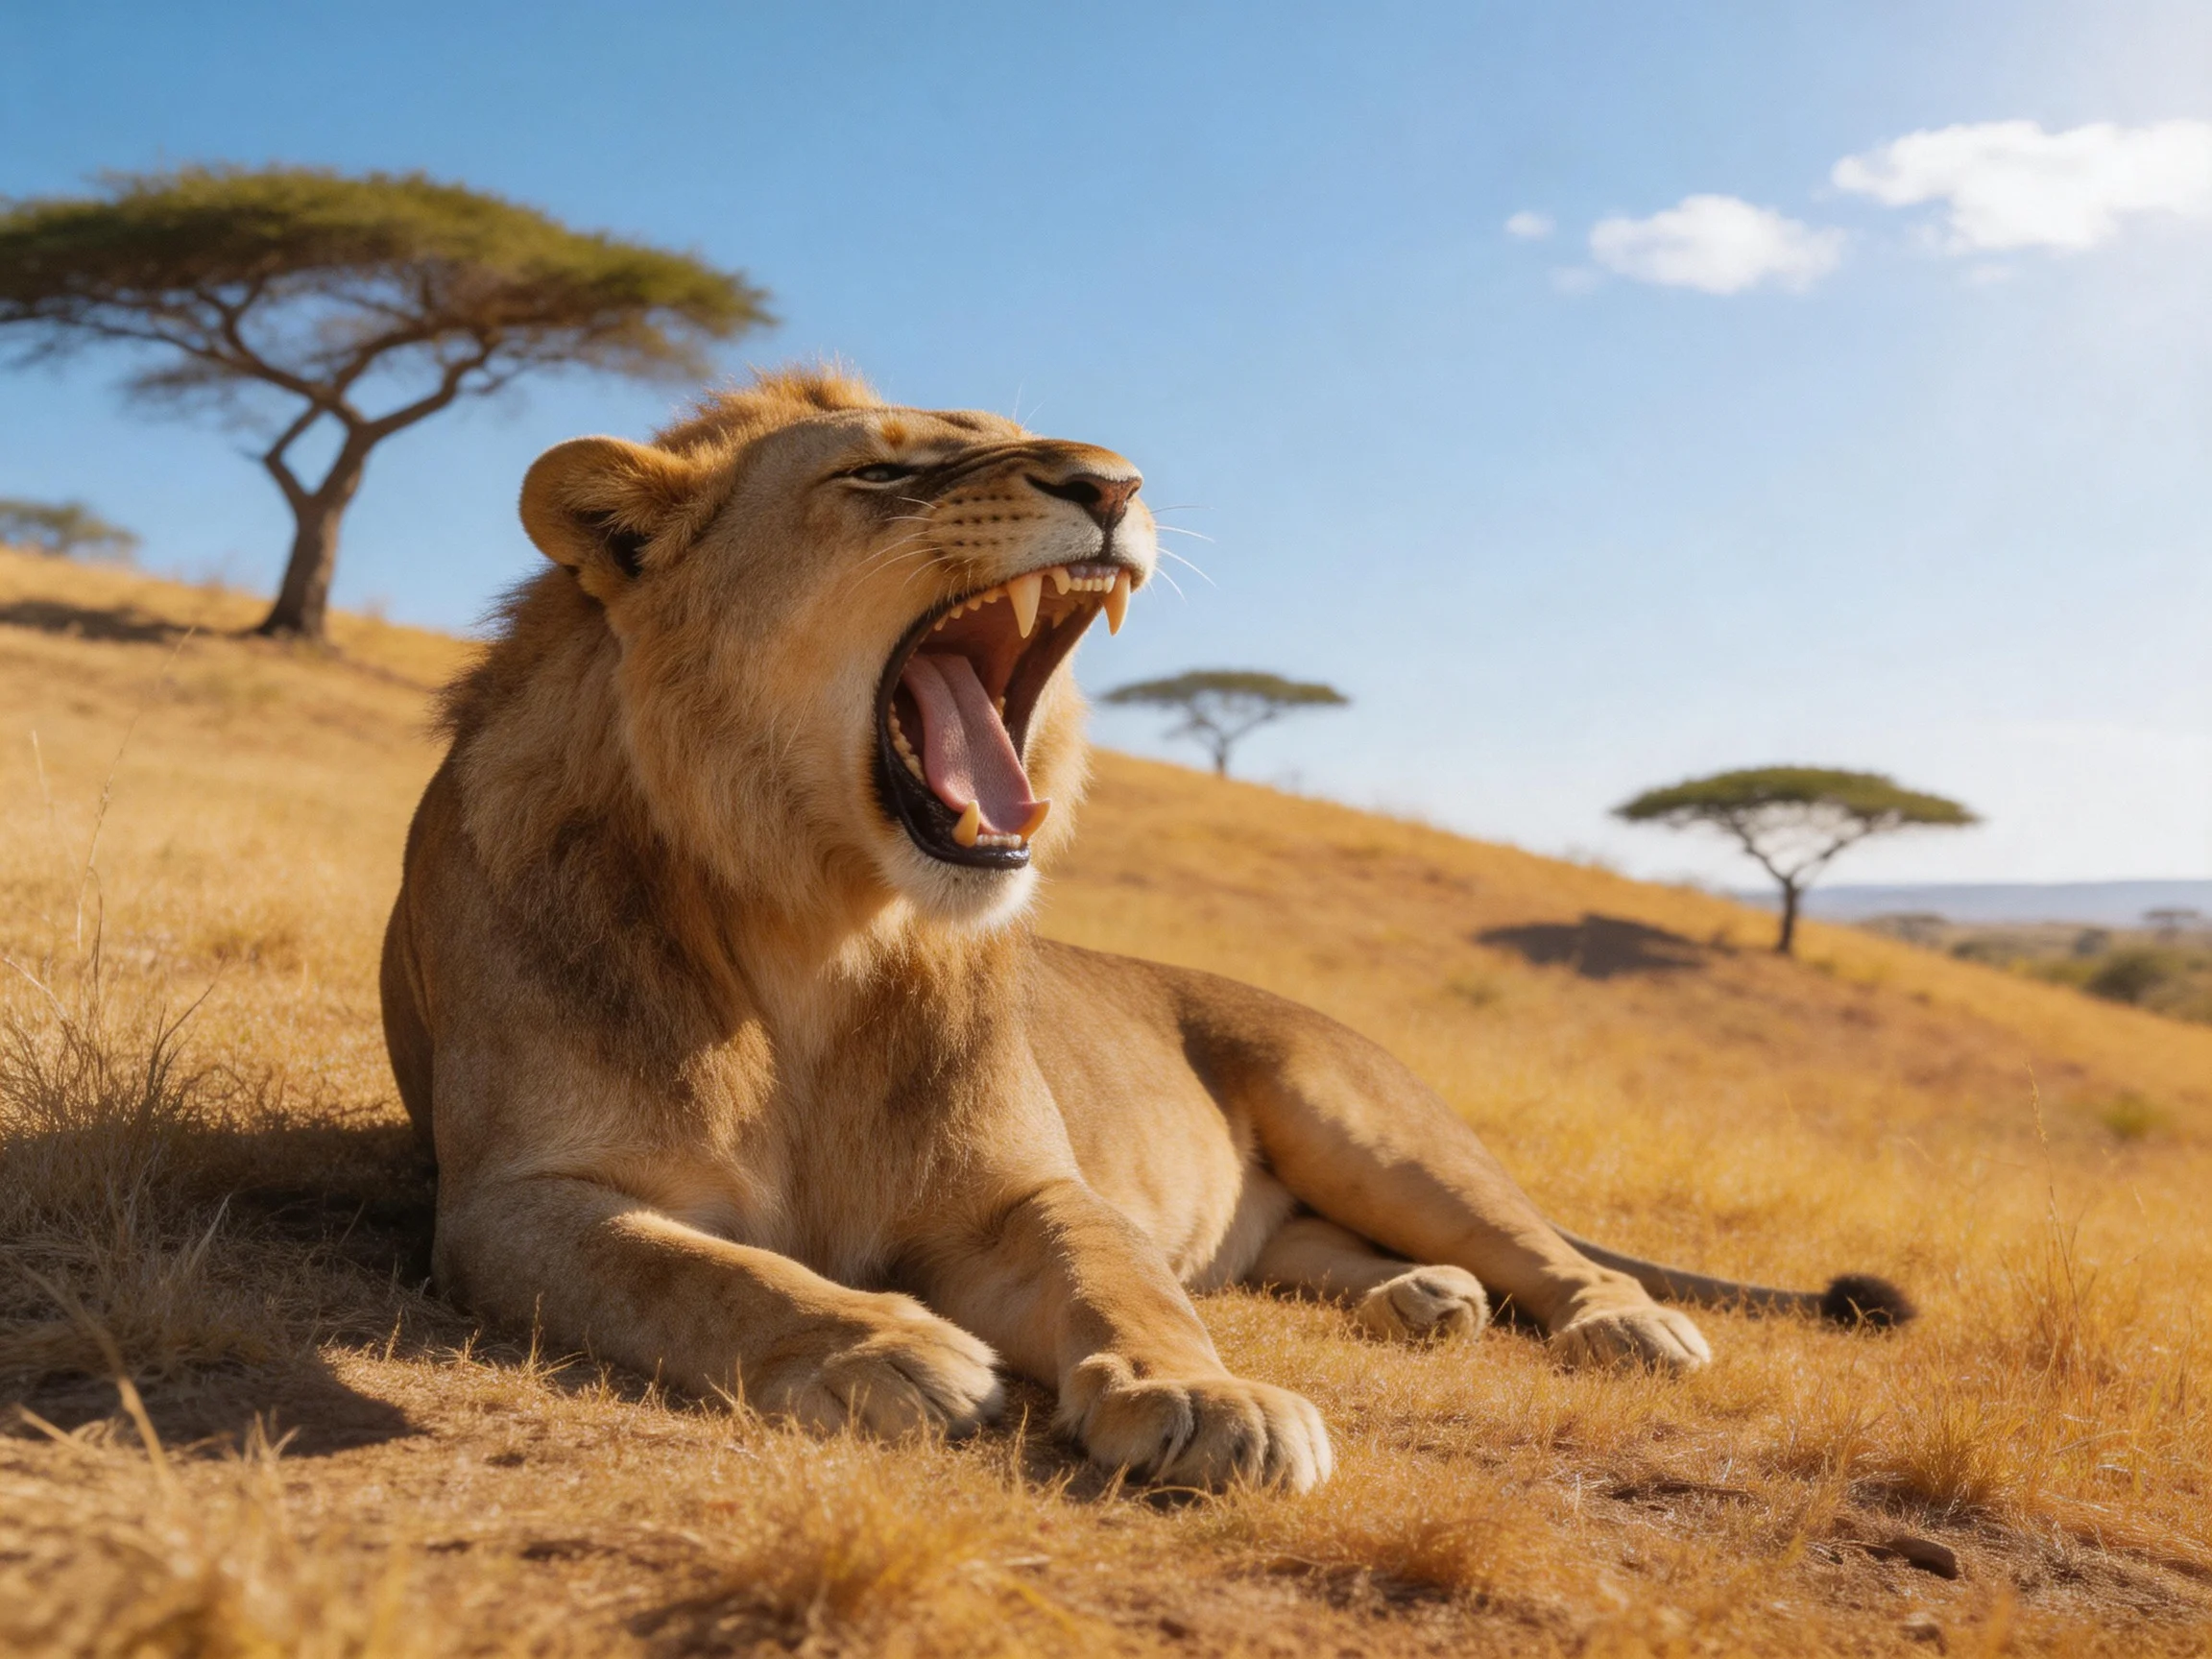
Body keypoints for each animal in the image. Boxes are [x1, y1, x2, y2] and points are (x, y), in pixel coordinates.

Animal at [382, 367, 1909, 1493]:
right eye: (881, 473)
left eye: (1009, 434)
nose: (1113, 483)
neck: (822, 923)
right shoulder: (516, 1198)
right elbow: (696, 1270)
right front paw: (886, 1347)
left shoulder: (1025, 1189)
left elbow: (1123, 1284)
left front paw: (1208, 1396)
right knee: (1312, 1253)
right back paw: (1423, 1300)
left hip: (1374, 1123)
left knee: (1545, 1251)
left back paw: (1620, 1319)